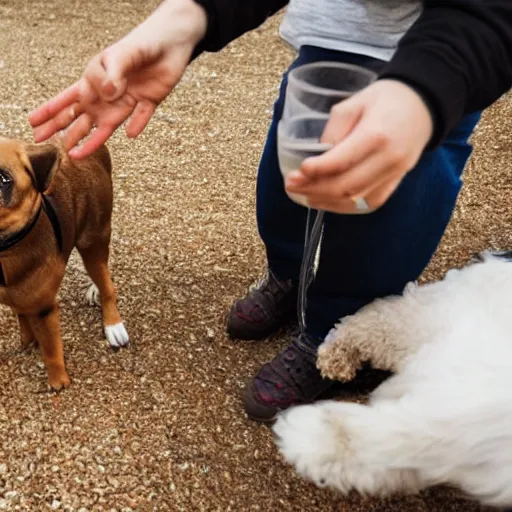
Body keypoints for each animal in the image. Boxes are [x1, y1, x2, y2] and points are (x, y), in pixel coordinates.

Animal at [0, 136, 127, 388]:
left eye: (3, 179)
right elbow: (22, 316)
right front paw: (28, 341)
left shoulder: (45, 309)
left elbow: (51, 349)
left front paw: (58, 382)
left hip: (93, 242)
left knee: (107, 283)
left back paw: (112, 323)